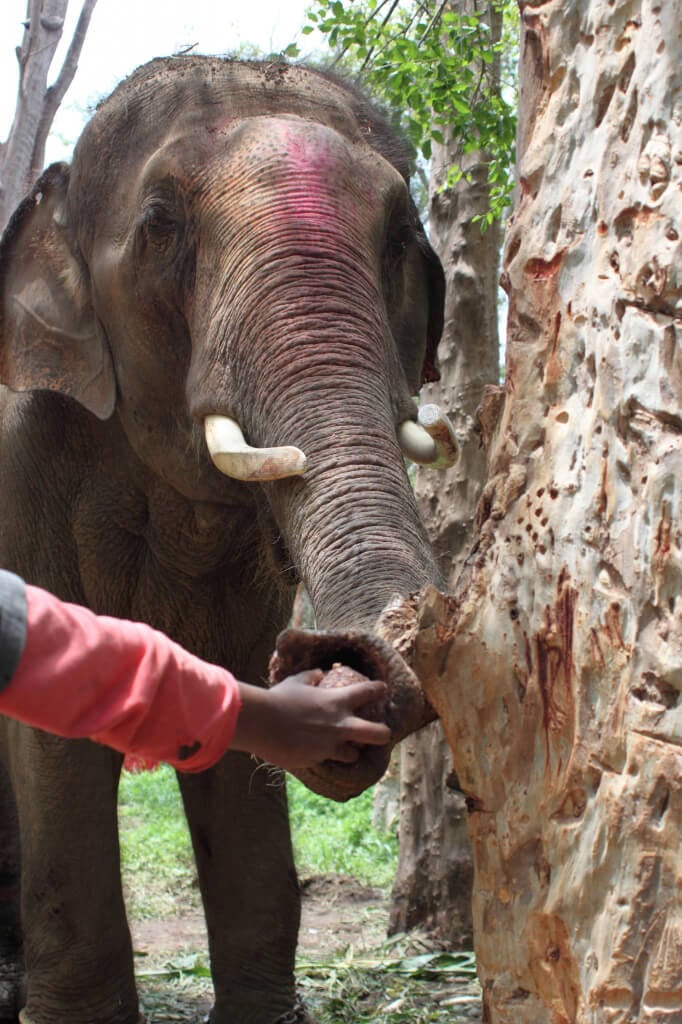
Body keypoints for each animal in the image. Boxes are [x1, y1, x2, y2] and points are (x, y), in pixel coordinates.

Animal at [0, 58, 450, 1024]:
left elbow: (232, 690)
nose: (336, 652)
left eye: (402, 234)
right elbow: (55, 728)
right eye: (160, 224)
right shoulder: (22, 470)